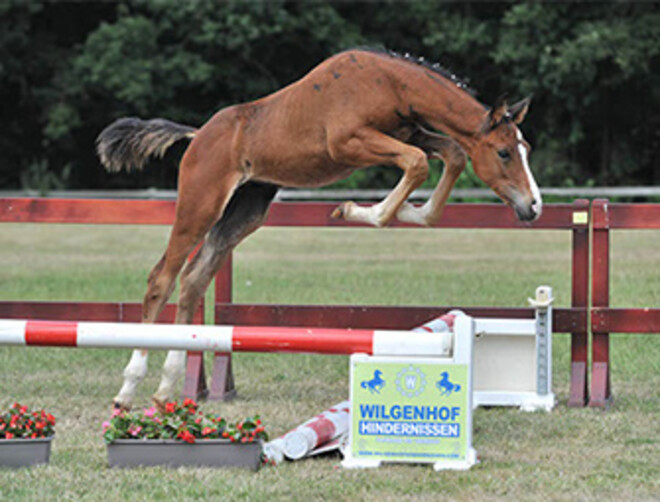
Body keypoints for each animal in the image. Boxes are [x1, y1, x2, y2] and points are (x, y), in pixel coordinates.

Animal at [97, 48, 542, 410]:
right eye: (504, 152)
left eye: (526, 150)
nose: (532, 206)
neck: (390, 84)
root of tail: (197, 135)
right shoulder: (350, 142)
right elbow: (417, 163)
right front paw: (354, 211)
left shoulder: (412, 134)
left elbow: (450, 155)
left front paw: (411, 213)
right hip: (199, 205)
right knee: (162, 279)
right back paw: (128, 388)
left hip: (244, 212)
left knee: (192, 281)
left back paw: (165, 388)